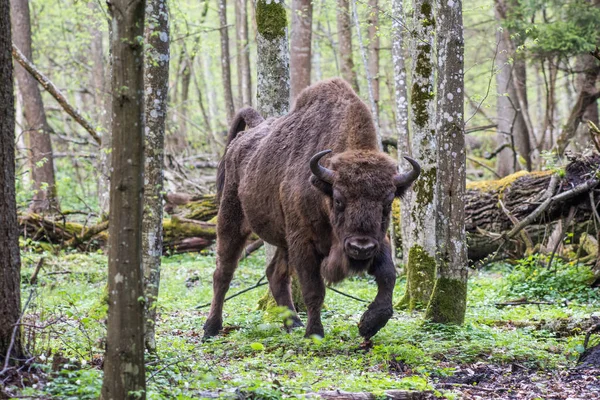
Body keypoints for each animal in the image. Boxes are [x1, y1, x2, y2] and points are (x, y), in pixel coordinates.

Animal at [204, 79, 420, 340]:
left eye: (388, 203)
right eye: (338, 199)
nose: (360, 248)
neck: (323, 188)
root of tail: (244, 138)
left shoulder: (379, 239)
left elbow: (388, 275)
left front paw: (369, 324)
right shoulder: (303, 242)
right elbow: (314, 289)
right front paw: (314, 334)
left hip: (283, 238)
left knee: (274, 273)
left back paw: (293, 323)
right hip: (231, 220)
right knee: (223, 273)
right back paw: (210, 328)